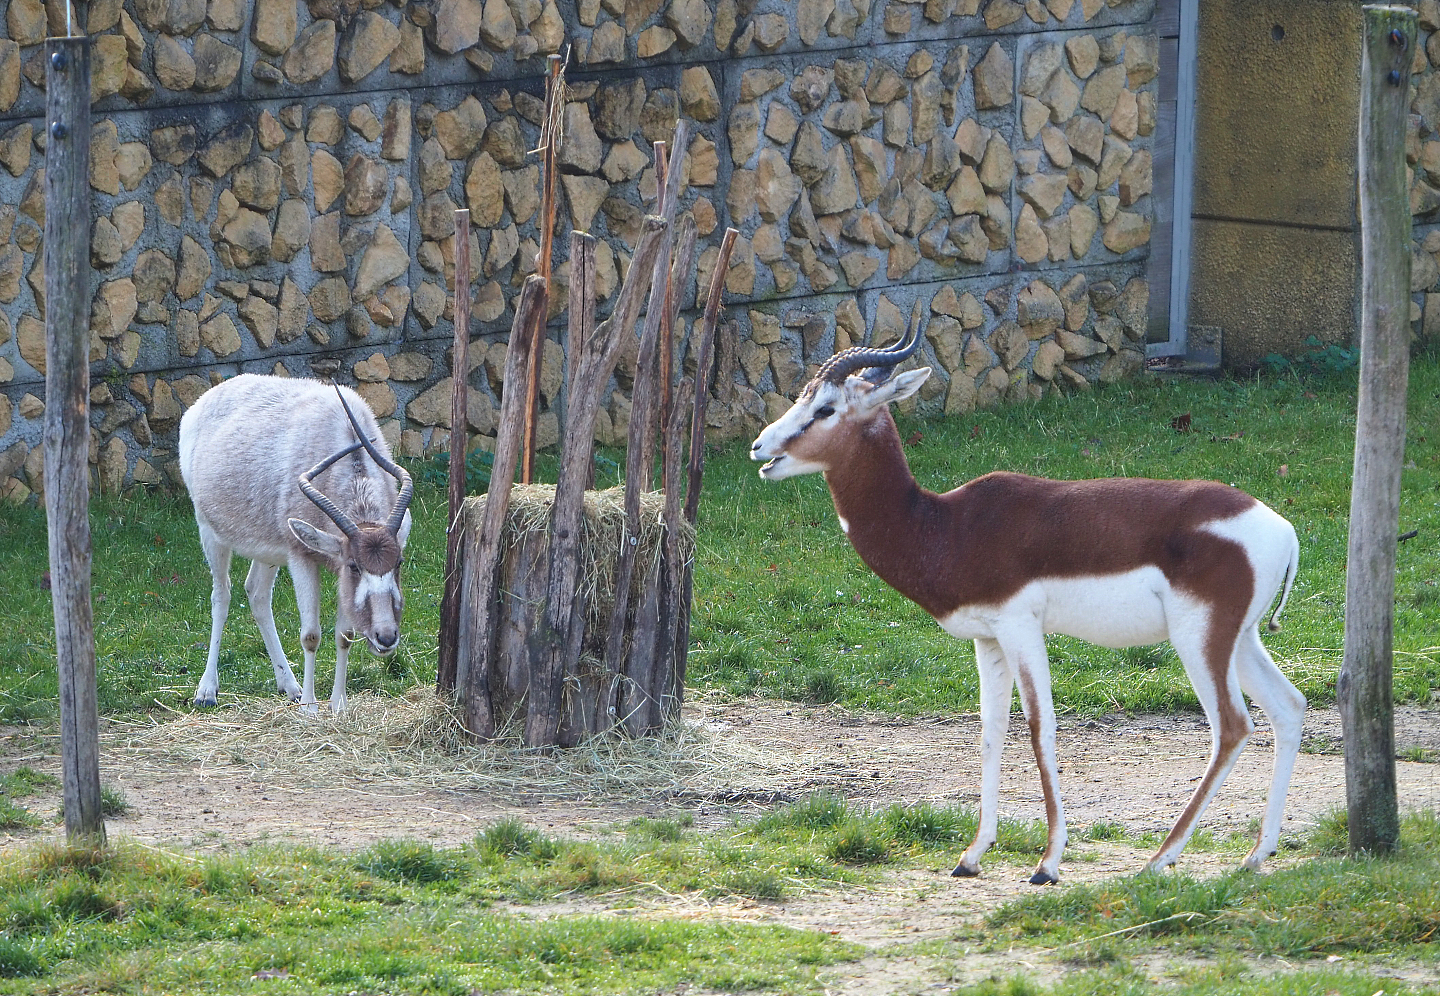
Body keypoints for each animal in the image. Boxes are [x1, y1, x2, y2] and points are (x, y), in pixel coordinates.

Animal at [179, 374, 413, 713]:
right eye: (355, 566)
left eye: (399, 563)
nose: (385, 636)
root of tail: (202, 403)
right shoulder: (302, 555)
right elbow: (311, 635)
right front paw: (311, 709)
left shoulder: (333, 566)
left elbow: (344, 635)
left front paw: (338, 705)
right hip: (210, 531)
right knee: (221, 596)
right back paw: (207, 690)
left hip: (267, 552)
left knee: (257, 594)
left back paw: (289, 686)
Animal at [750, 327, 1304, 884]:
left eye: (825, 408)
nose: (759, 447)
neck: (944, 526)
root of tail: (1285, 530)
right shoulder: (987, 638)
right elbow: (991, 730)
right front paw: (972, 854)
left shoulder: (1020, 626)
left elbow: (1041, 726)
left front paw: (1048, 862)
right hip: (1239, 639)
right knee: (1289, 706)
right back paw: (1257, 854)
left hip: (1198, 637)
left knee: (1232, 726)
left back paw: (1159, 859)